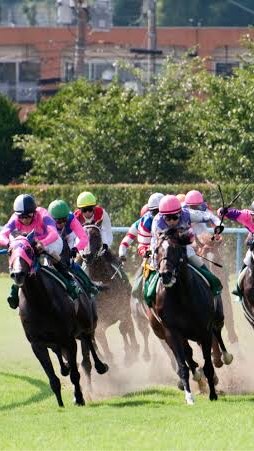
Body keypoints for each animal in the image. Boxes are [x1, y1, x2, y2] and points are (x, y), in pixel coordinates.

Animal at [8, 235, 107, 408]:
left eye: (28, 250)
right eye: (9, 251)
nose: (17, 273)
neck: (40, 303)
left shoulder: (68, 339)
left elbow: (75, 373)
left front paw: (79, 398)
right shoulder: (37, 344)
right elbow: (53, 378)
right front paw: (60, 404)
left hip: (87, 322)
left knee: (89, 341)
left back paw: (100, 366)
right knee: (62, 353)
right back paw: (65, 368)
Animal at [80, 226, 139, 368]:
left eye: (96, 235)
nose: (87, 255)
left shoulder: (124, 310)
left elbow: (124, 327)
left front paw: (130, 355)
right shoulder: (98, 323)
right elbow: (101, 340)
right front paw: (109, 360)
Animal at [149, 231, 230, 404]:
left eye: (175, 249)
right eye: (157, 250)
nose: (165, 274)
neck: (182, 297)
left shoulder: (204, 330)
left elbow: (208, 365)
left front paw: (213, 394)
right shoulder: (172, 332)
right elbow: (183, 365)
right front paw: (189, 396)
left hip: (218, 317)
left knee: (218, 332)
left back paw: (225, 357)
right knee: (189, 353)